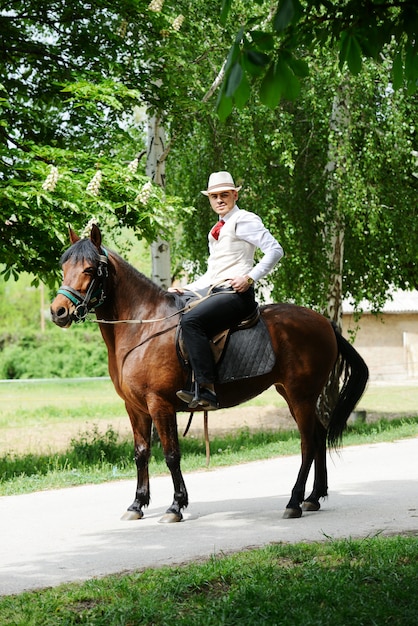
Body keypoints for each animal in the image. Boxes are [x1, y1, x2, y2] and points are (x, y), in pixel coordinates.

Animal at [49, 224, 370, 520]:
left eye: (90, 269)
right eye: (64, 266)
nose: (58, 311)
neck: (143, 327)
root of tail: (325, 322)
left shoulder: (160, 404)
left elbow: (171, 455)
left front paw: (176, 506)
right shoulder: (135, 407)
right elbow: (141, 453)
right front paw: (137, 504)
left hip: (300, 395)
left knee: (307, 443)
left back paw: (294, 501)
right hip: (295, 395)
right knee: (318, 435)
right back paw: (314, 497)